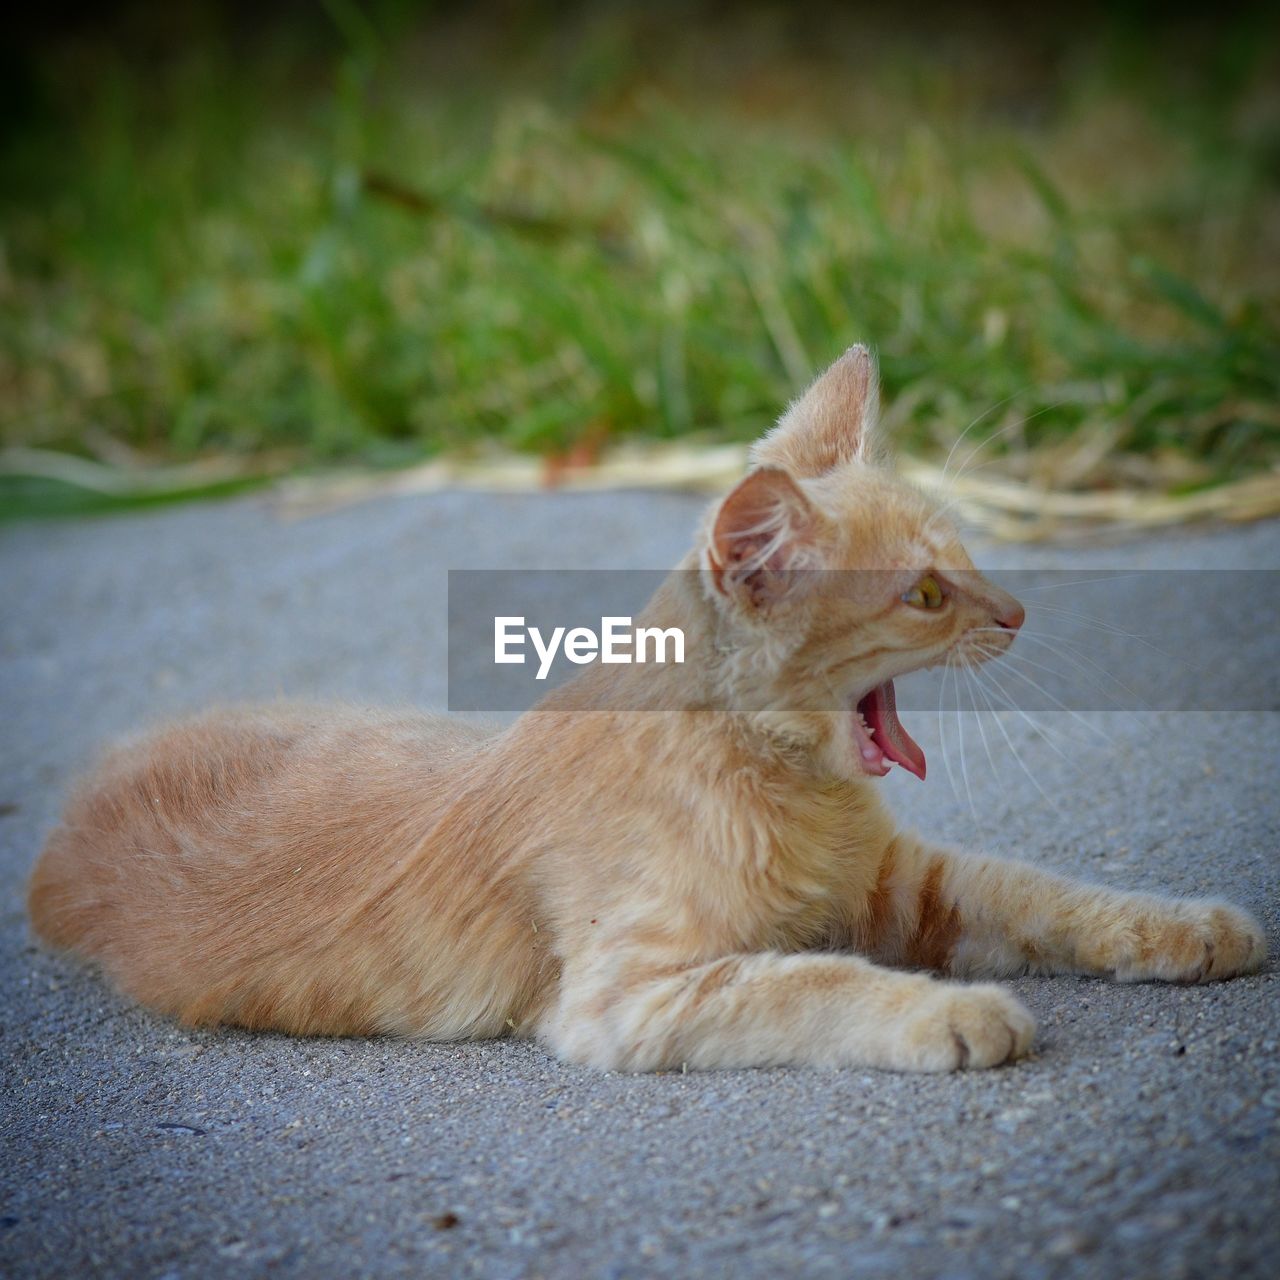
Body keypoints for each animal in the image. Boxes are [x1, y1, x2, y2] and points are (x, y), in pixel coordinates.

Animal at [24, 348, 1264, 1070]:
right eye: (922, 593)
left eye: (968, 558)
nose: (1014, 612)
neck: (768, 773)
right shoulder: (631, 993)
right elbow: (809, 979)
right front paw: (943, 1014)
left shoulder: (901, 882)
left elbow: (1045, 890)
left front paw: (1182, 926)